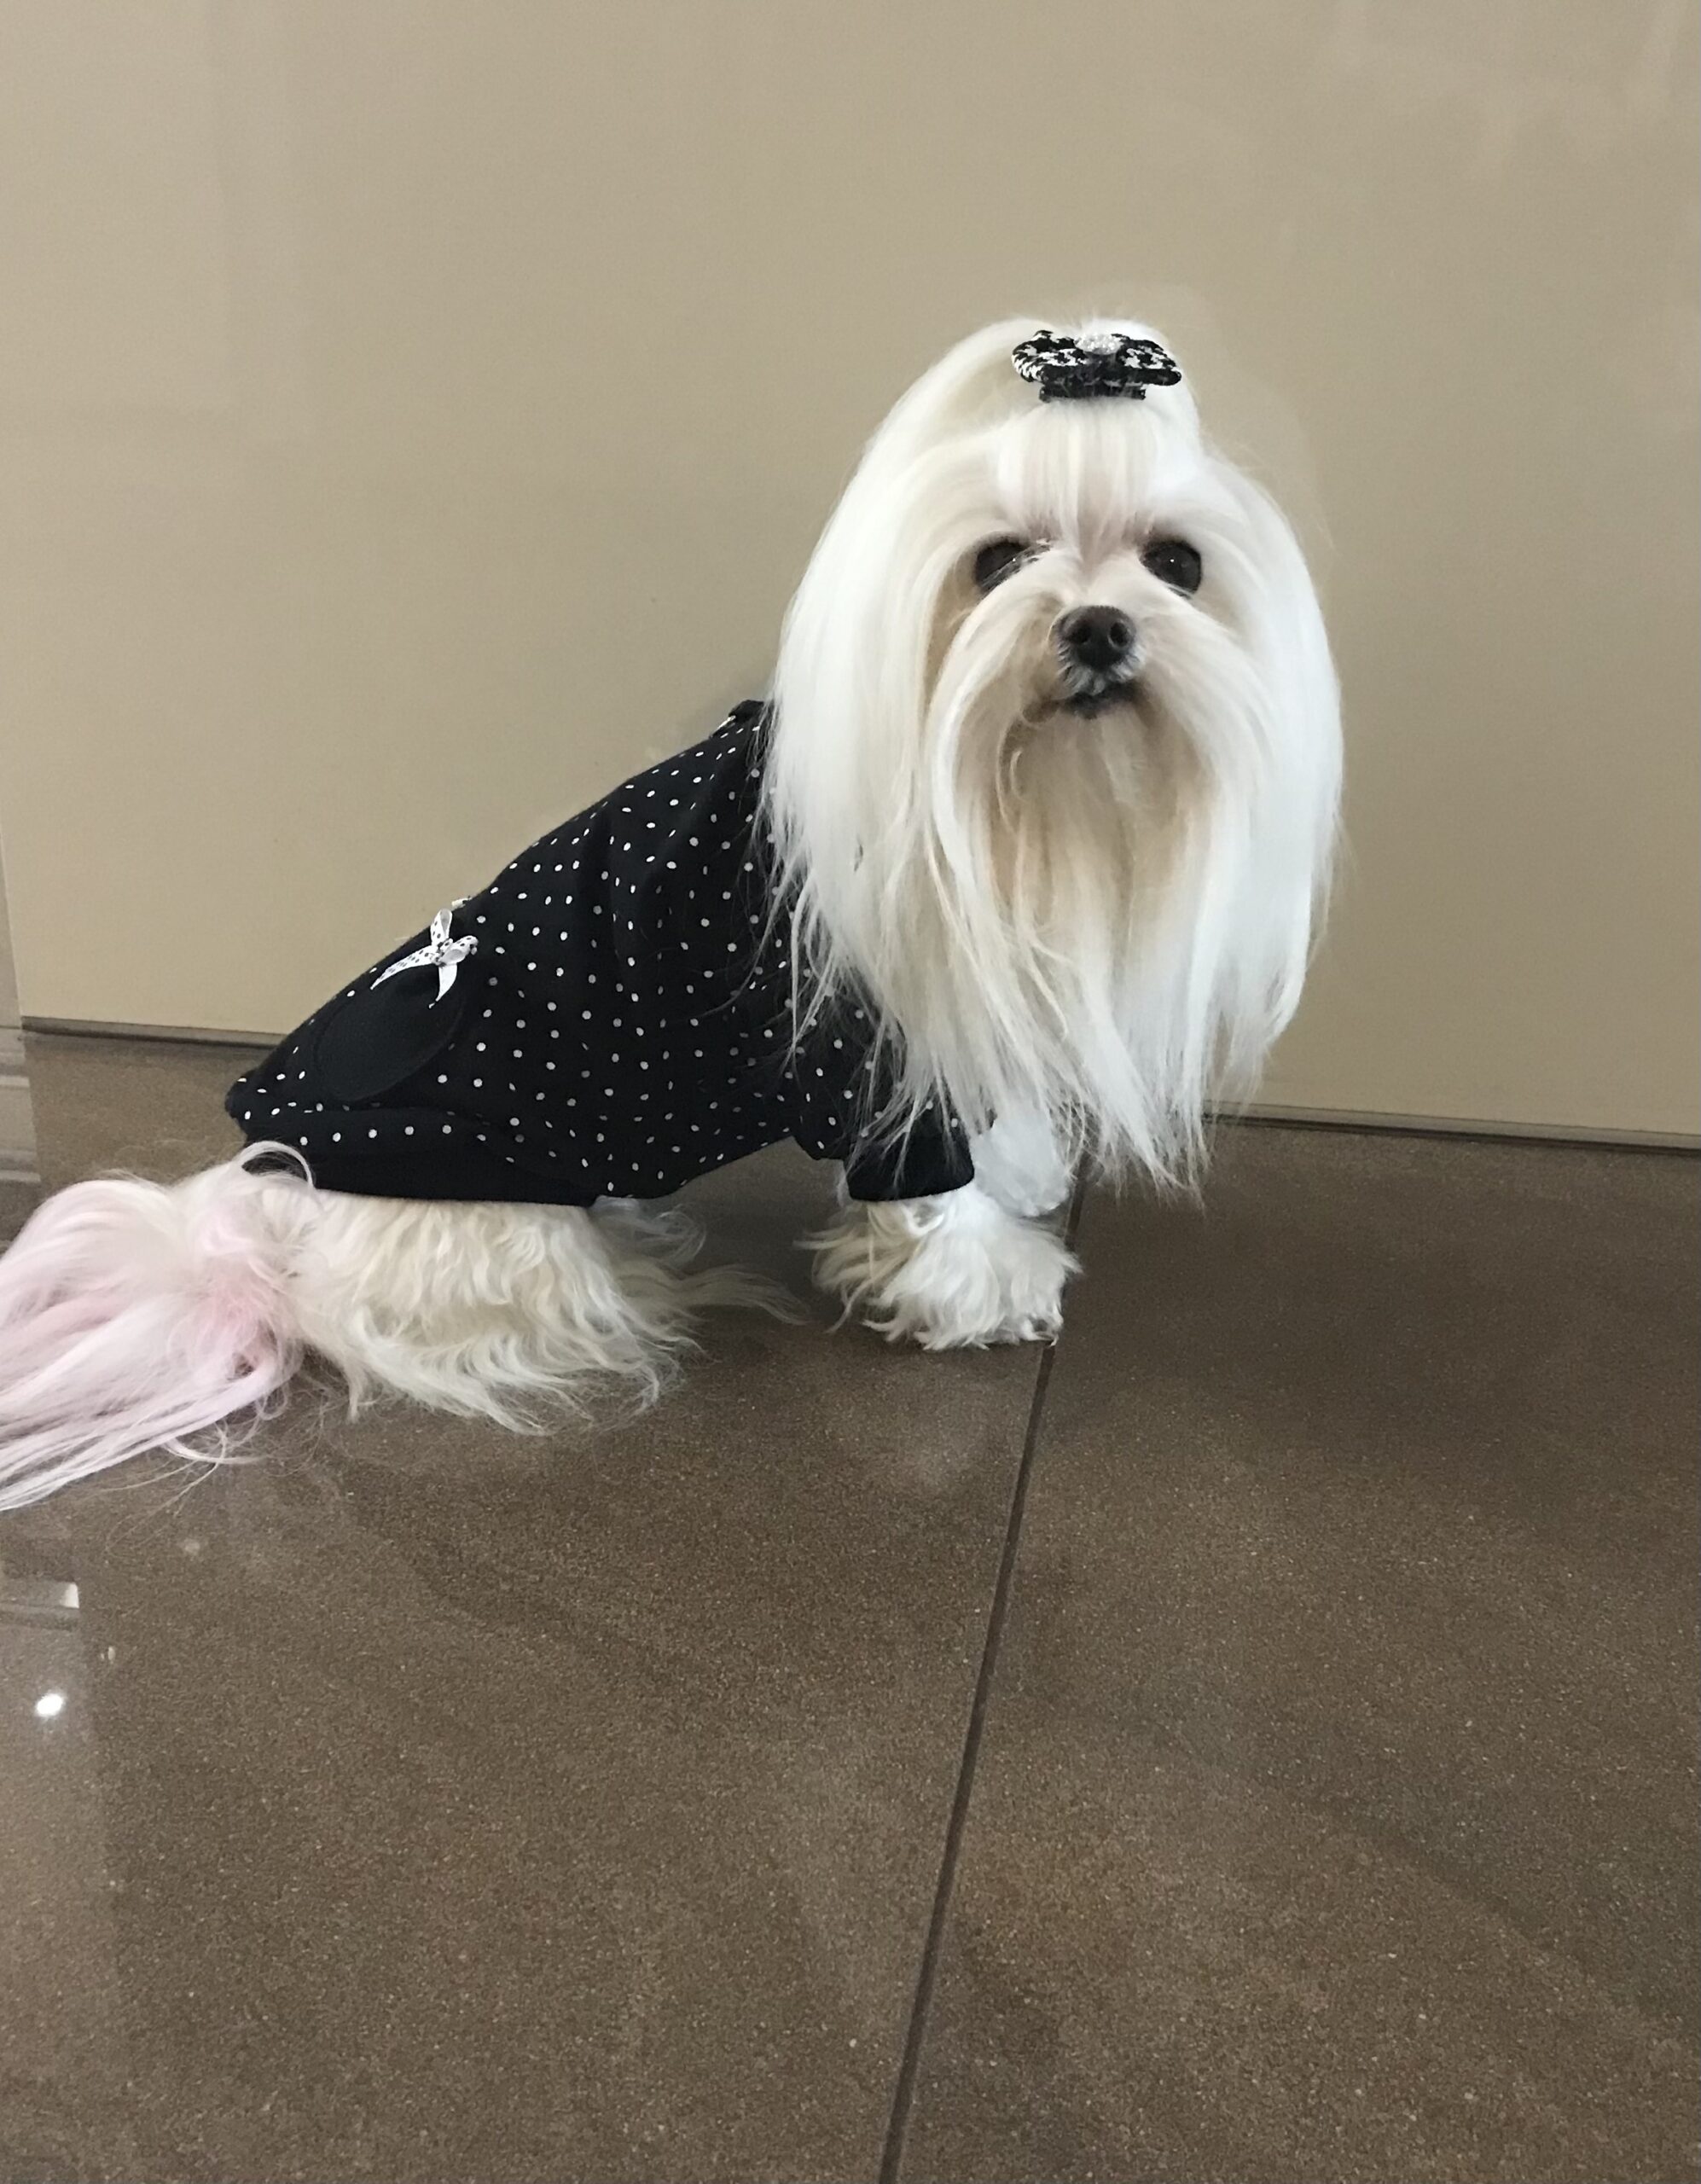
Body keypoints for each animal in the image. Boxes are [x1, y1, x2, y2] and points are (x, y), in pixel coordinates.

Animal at [0, 318, 1340, 1510]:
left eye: (1176, 564)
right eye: (999, 559)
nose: (1099, 626)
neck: (980, 784)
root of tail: (253, 1219)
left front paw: (1018, 1185)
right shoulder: (868, 1058)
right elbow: (927, 1204)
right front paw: (983, 1286)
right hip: (509, 1226)